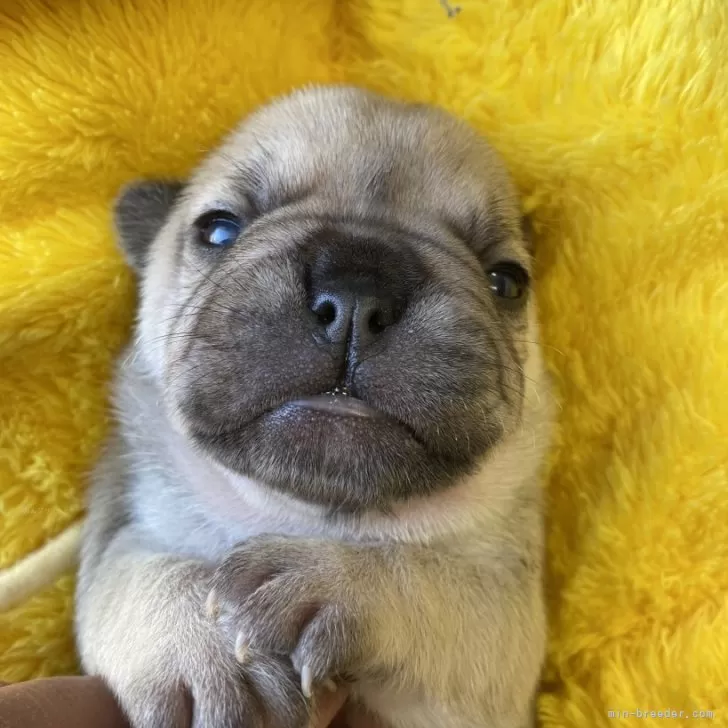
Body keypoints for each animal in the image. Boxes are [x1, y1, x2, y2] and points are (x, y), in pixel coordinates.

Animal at [74, 86, 552, 728]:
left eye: (506, 282)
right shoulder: (118, 527)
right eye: (218, 231)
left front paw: (334, 580)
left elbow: (448, 590)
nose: (357, 291)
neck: (303, 513)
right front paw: (205, 647)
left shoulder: (506, 621)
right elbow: (128, 571)